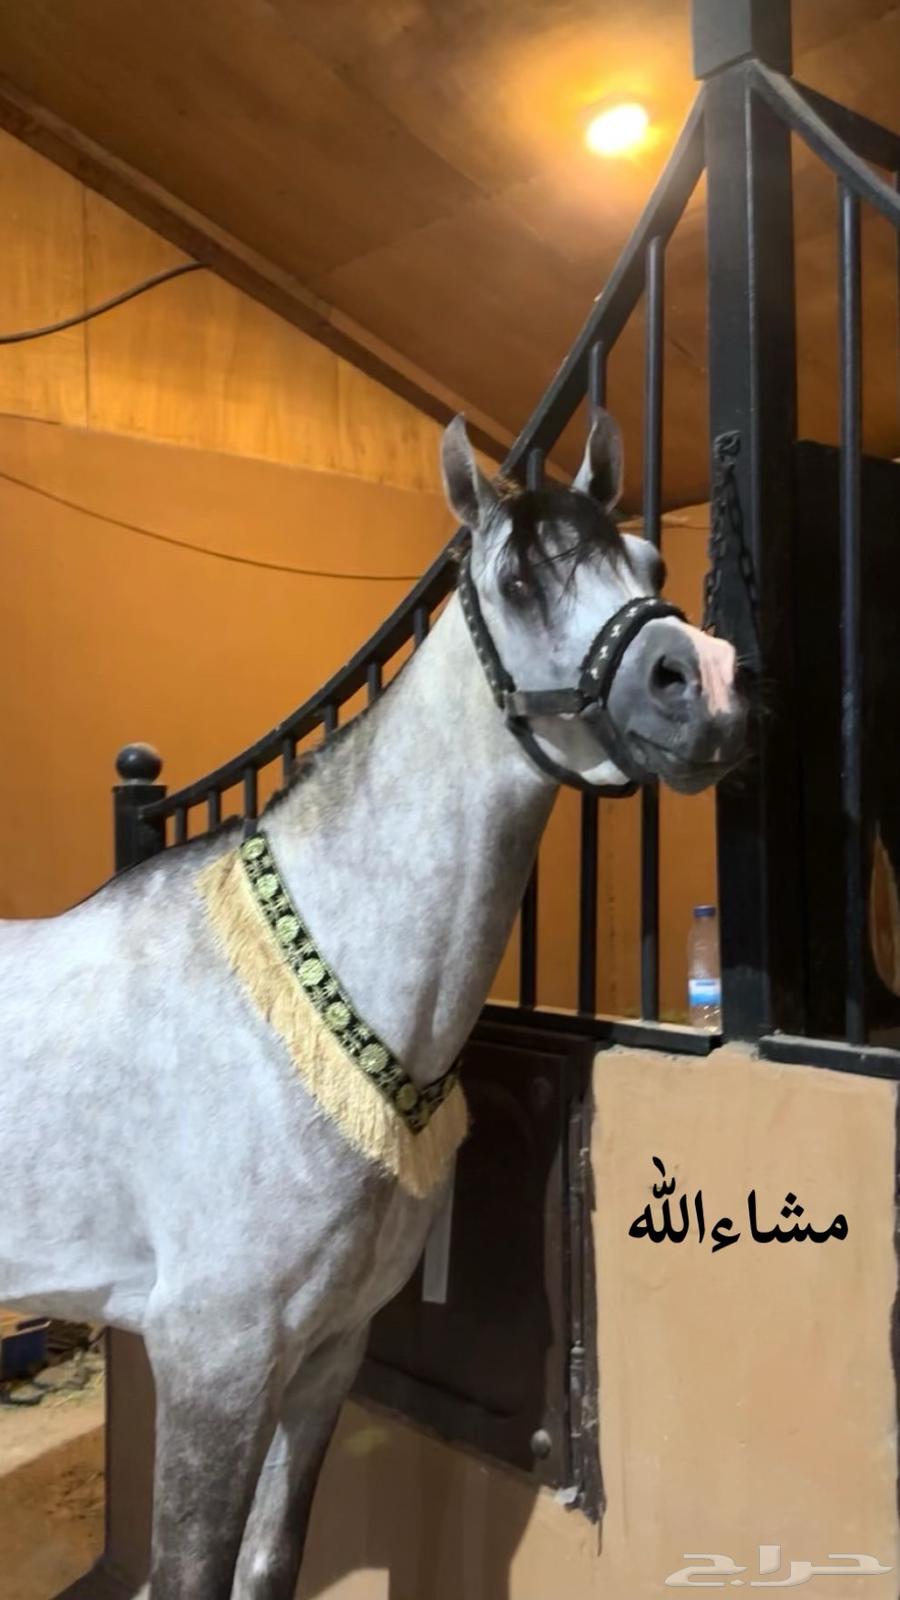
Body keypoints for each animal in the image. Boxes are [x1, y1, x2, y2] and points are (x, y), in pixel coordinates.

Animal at [0, 410, 746, 1599]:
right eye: (520, 576)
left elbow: (270, 1565)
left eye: (652, 566)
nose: (706, 684)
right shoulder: (212, 1361)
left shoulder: (323, 1357)